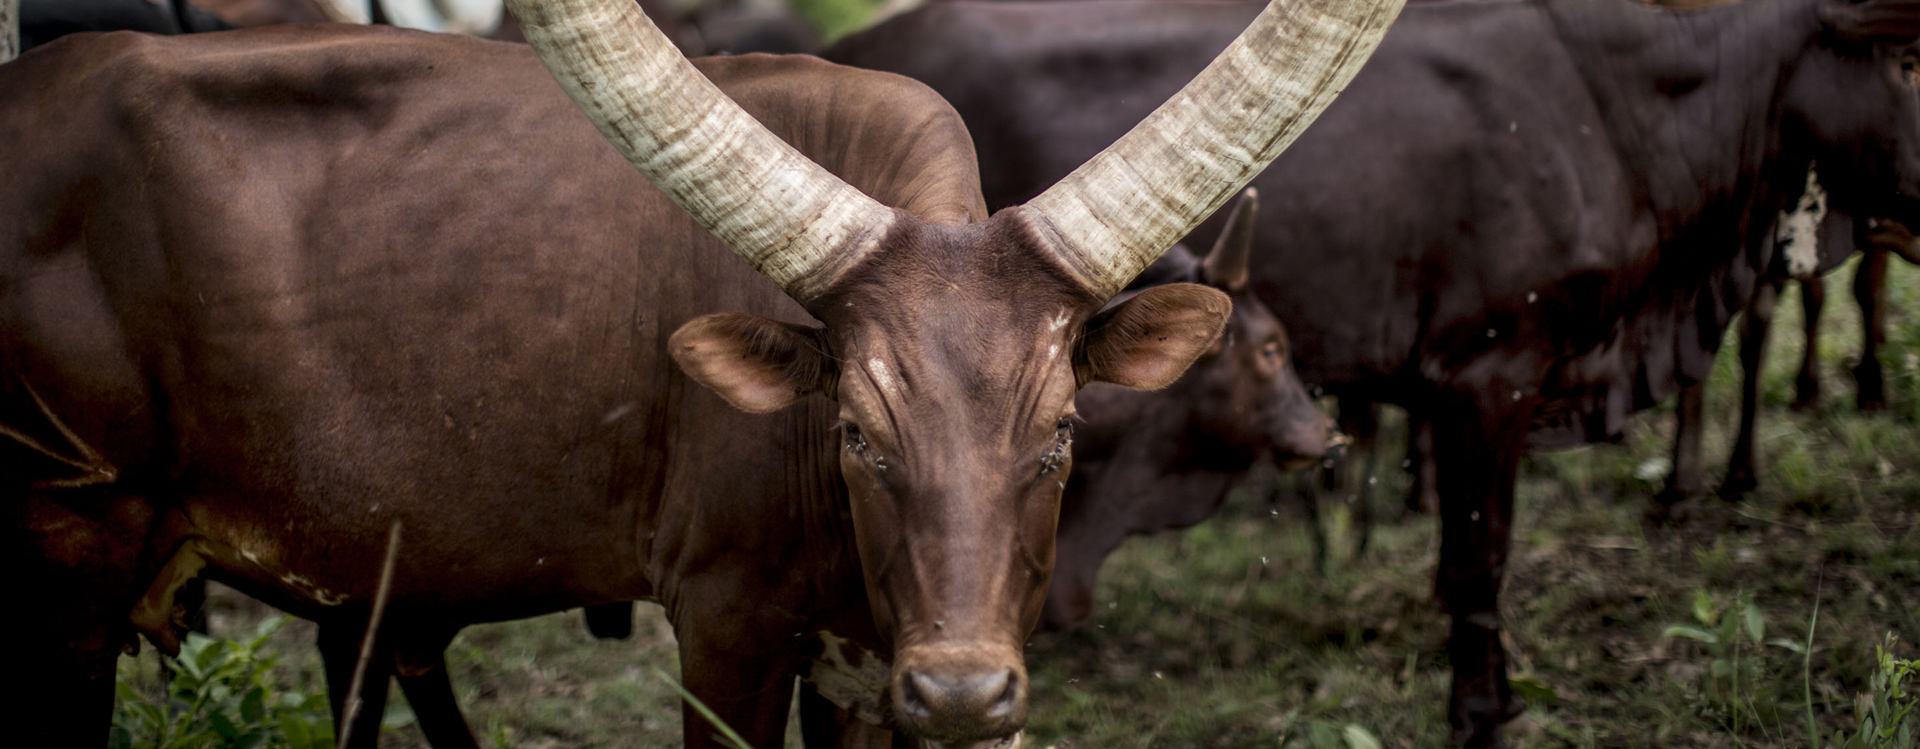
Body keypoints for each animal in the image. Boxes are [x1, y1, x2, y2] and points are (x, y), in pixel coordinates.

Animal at [3, 1, 1413, 749]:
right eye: (854, 430)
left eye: (1063, 427)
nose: (967, 691)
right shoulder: (725, 619)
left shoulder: (861, 651)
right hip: (70, 531)